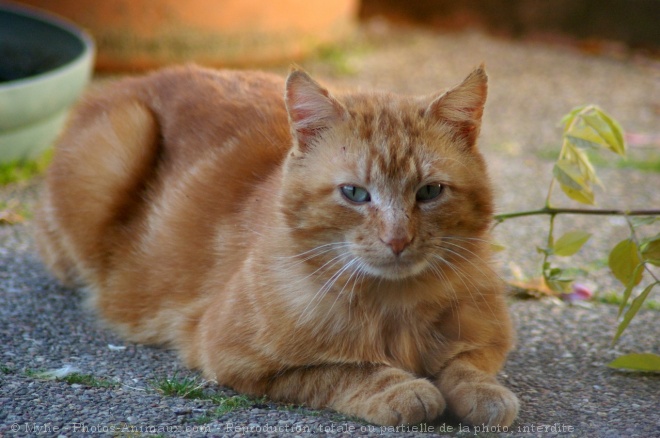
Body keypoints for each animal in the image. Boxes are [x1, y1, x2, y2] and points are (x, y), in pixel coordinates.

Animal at [34, 65, 520, 428]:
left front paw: (483, 392)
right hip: (119, 147)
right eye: (355, 193)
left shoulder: (488, 337)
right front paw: (400, 388)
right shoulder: (232, 357)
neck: (396, 307)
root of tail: (132, 80)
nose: (397, 238)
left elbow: (467, 365)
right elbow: (342, 371)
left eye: (430, 192)